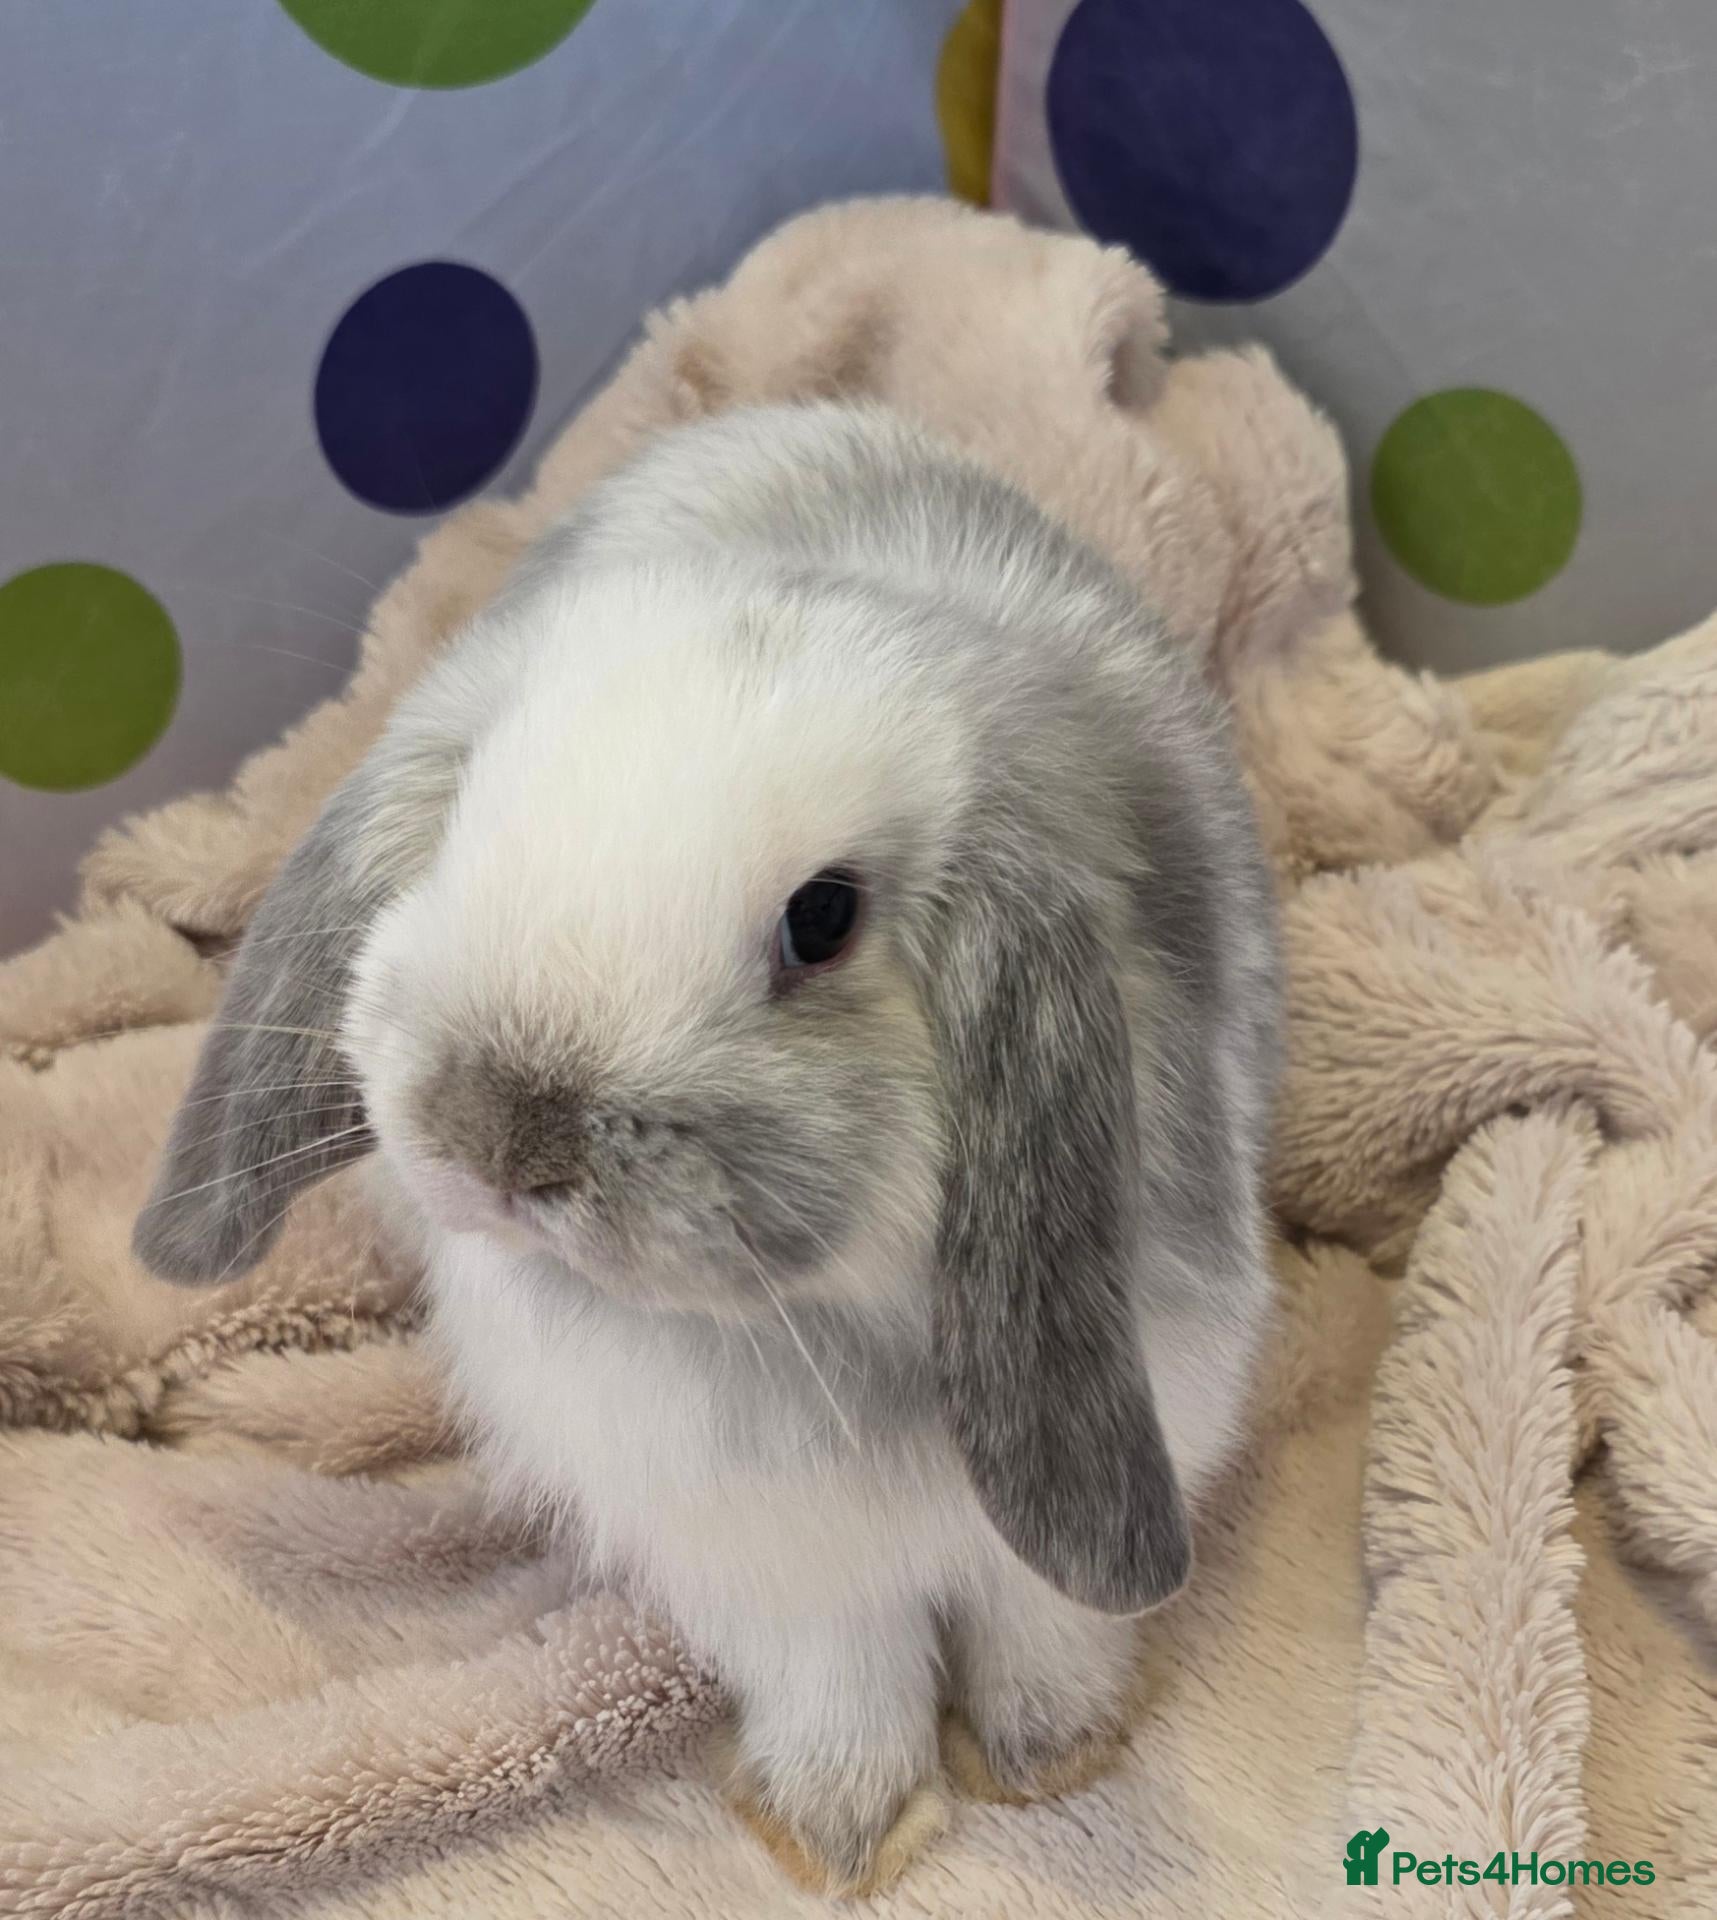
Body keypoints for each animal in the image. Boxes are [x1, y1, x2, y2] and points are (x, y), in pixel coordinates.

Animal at [135, 400, 1282, 1896]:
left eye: (822, 918)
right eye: (468, 815)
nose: (504, 1131)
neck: (830, 1336)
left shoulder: (1149, 1416)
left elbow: (1047, 1619)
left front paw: (1049, 1755)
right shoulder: (765, 1561)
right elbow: (841, 1681)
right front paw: (838, 1832)